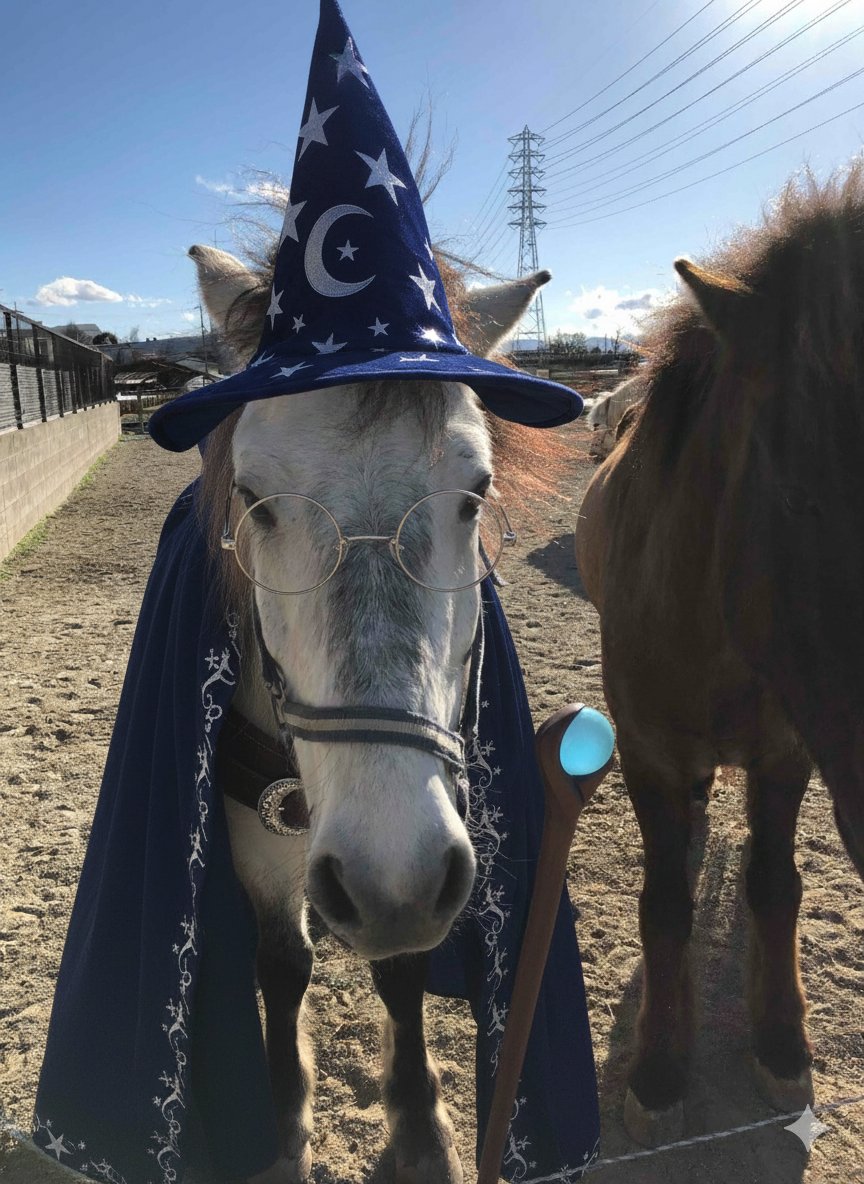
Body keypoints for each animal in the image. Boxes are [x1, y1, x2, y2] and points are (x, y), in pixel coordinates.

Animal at [188, 243, 565, 1184]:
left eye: (477, 491)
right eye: (253, 497)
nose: (388, 877)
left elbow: (403, 972)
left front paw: (419, 1130)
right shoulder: (260, 850)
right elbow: (282, 965)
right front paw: (284, 1124)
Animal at [575, 161, 864, 1147]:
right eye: (801, 492)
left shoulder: (787, 754)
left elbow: (776, 887)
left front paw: (782, 1041)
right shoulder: (652, 757)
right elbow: (663, 906)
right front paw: (661, 1065)